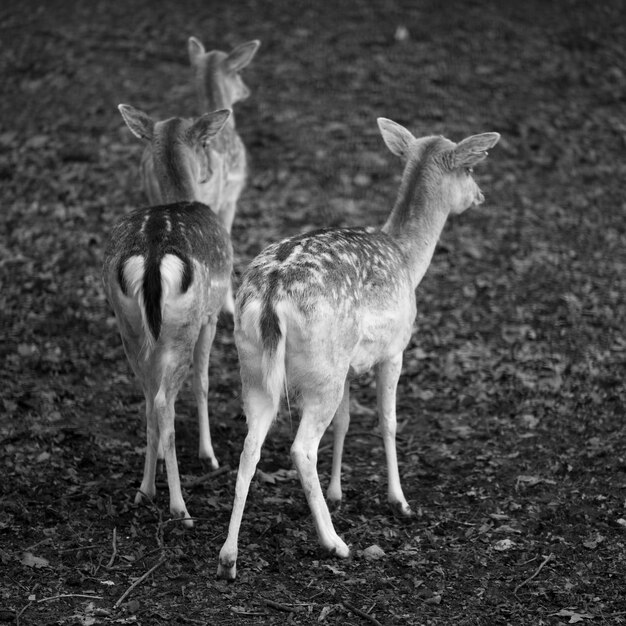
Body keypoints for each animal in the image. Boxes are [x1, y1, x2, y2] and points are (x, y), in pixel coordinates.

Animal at [103, 105, 233, 524]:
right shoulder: (211, 315)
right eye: (205, 143)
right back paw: (180, 506)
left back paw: (144, 490)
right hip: (183, 328)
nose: (210, 169)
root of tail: (153, 255)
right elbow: (203, 382)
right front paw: (209, 454)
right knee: (164, 400)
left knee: (147, 399)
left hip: (128, 326)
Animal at [217, 116, 500, 576]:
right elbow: (387, 421)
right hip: (321, 368)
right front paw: (400, 501)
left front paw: (337, 492)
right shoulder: (395, 349)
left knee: (250, 446)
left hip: (256, 367)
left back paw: (228, 557)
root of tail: (273, 293)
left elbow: (346, 422)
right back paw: (335, 542)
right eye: (472, 168)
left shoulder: (349, 364)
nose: (479, 196)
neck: (409, 259)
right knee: (300, 448)